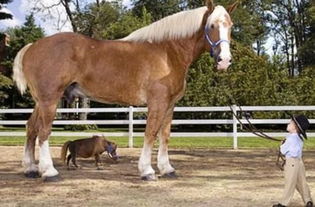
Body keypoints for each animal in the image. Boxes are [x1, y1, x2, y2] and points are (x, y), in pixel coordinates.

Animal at [13, 0, 238, 181]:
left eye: (230, 26)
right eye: (211, 25)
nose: (224, 60)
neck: (167, 53)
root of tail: (32, 46)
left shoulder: (170, 105)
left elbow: (164, 136)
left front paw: (167, 169)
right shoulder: (157, 103)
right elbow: (151, 133)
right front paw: (147, 171)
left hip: (40, 101)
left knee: (31, 128)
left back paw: (30, 169)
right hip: (50, 100)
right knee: (43, 132)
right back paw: (49, 172)